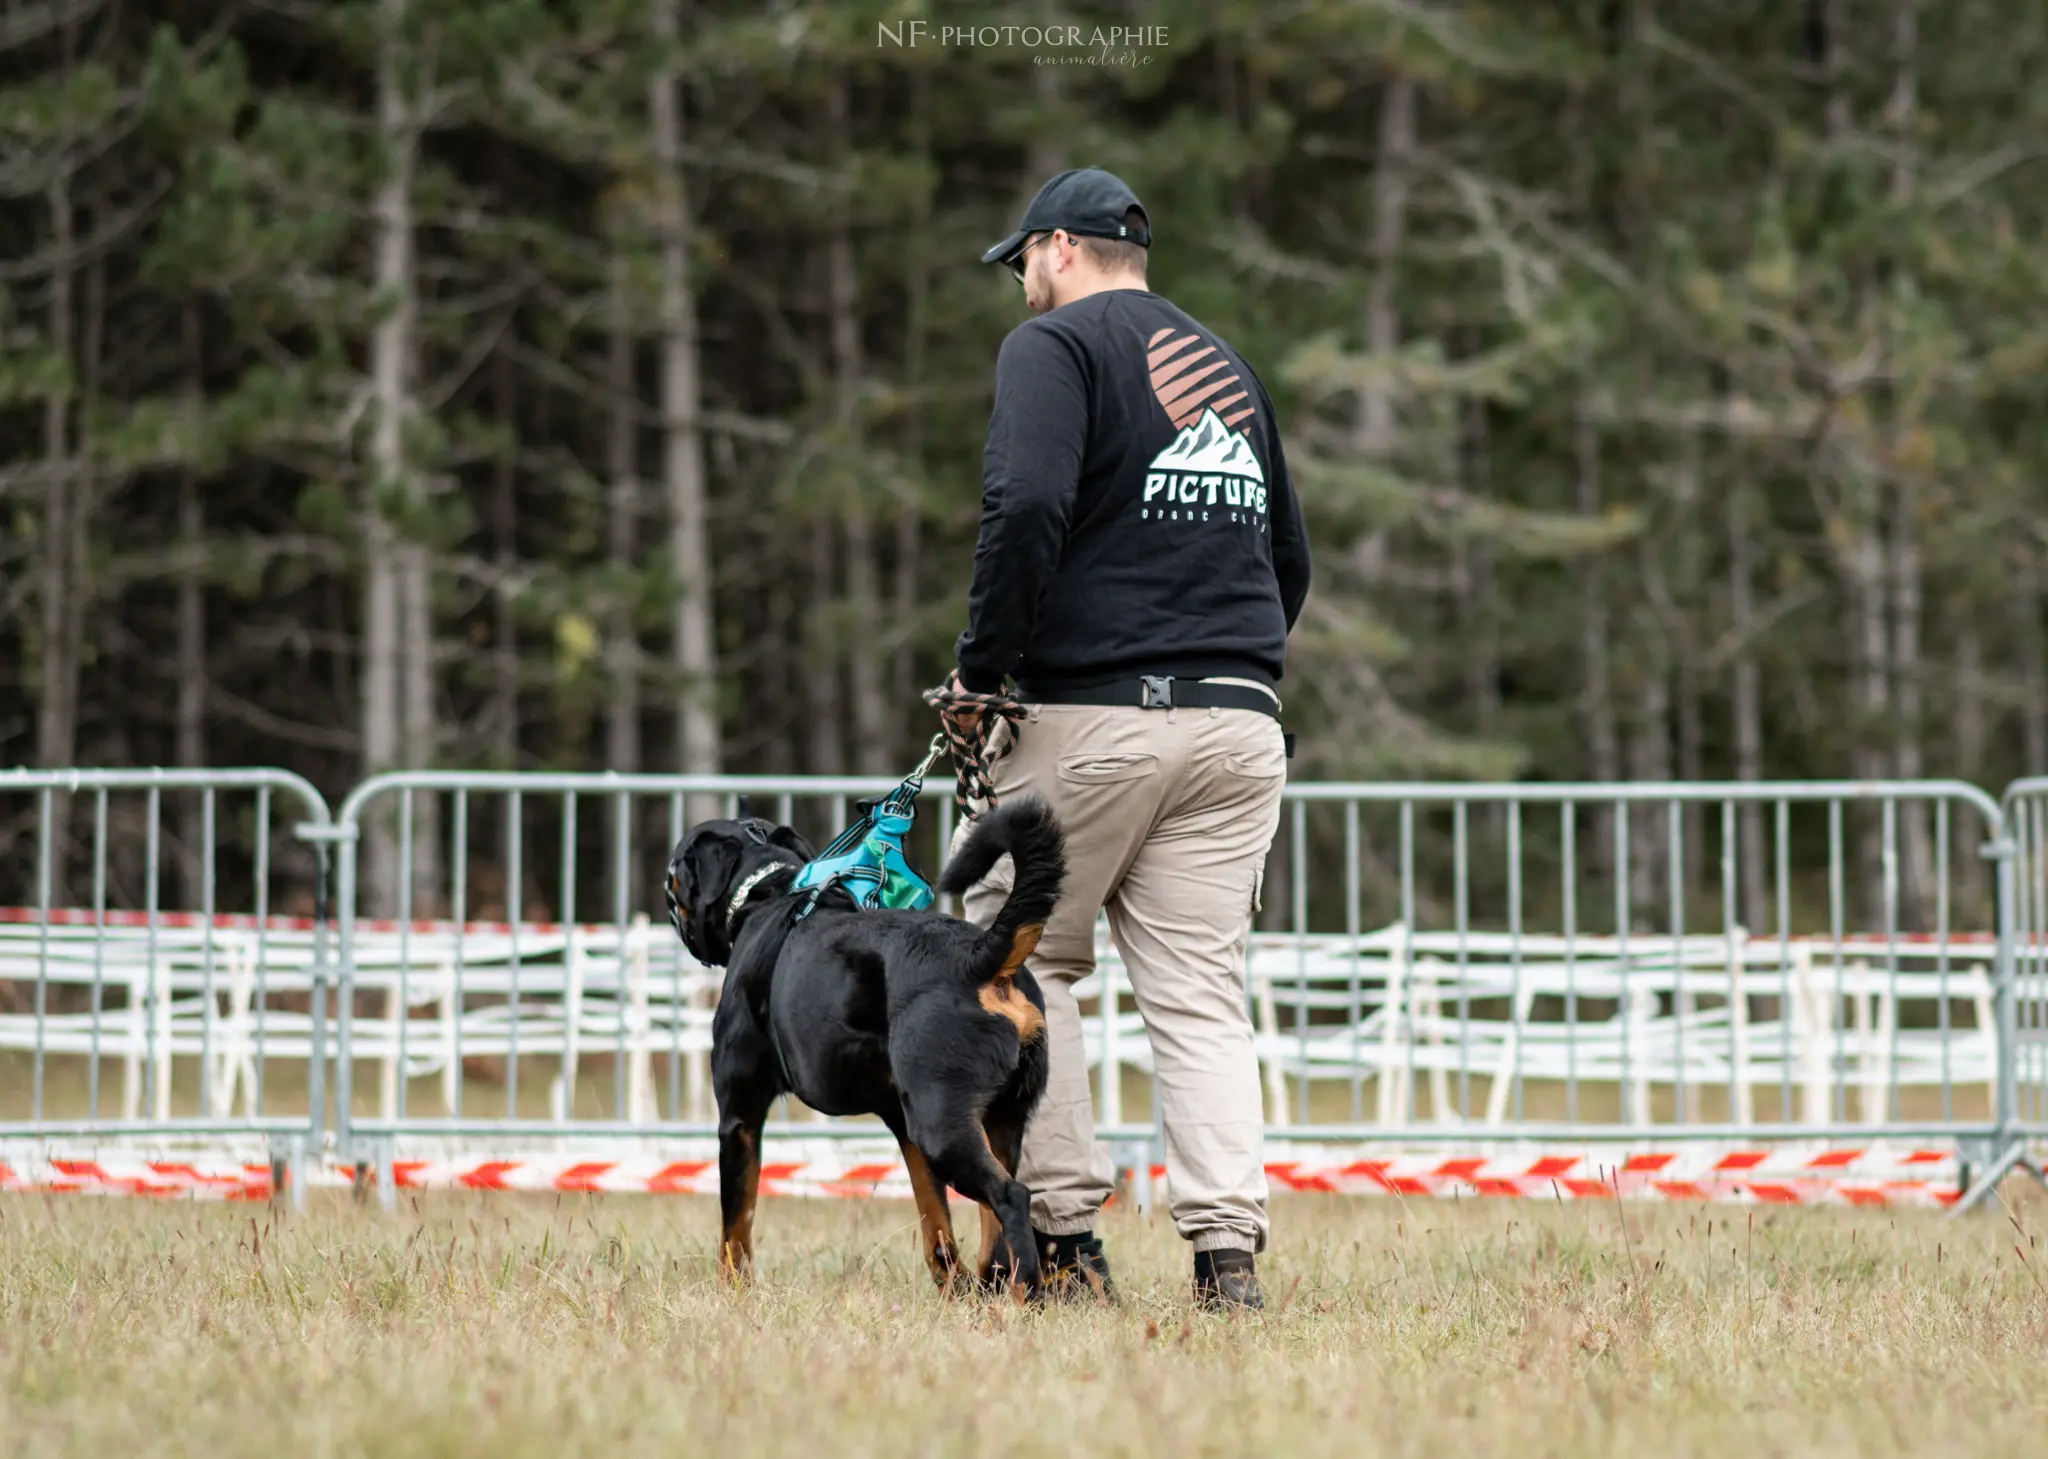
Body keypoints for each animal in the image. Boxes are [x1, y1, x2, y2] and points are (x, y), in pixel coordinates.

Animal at [663, 799, 1064, 1303]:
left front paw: (733, 1292)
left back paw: (1026, 1292)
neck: (764, 894)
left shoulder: (739, 1119)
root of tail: (982, 956)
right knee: (994, 1223)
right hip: (994, 1122)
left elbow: (736, 1228)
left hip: (942, 1124)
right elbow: (937, 1229)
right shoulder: (902, 1126)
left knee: (1012, 1197)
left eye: (675, 871)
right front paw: (952, 1290)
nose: (665, 897)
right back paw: (994, 1290)